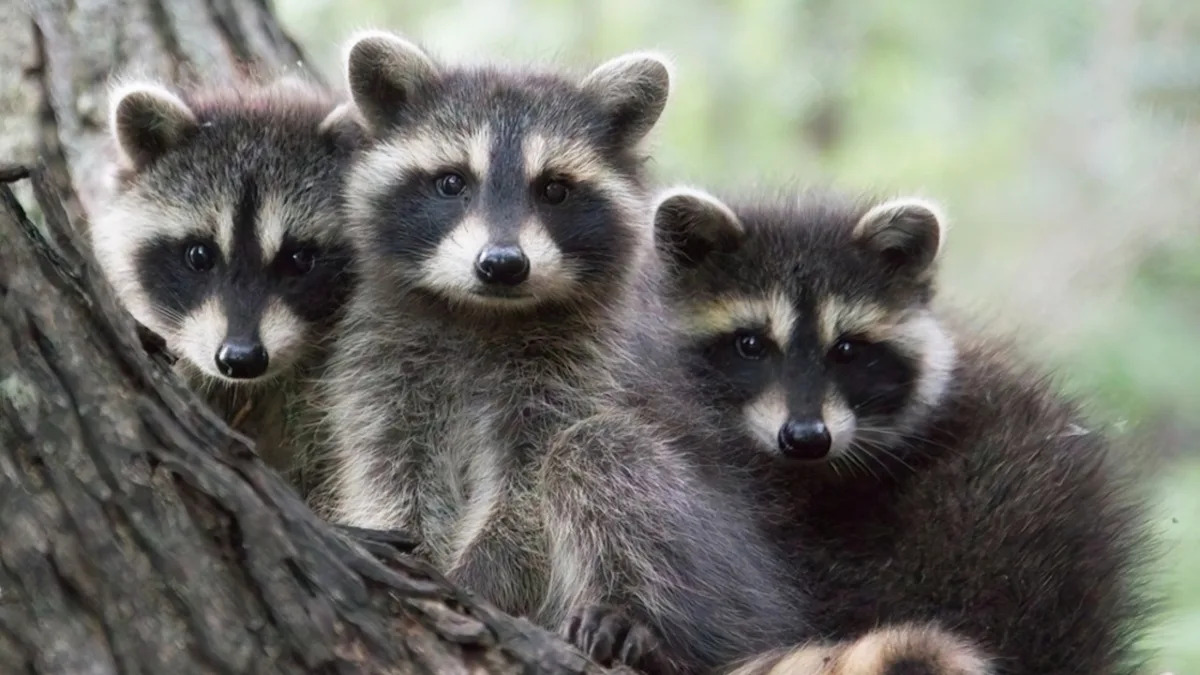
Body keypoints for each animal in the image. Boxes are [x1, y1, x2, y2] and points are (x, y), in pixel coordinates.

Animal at [320, 31, 808, 673]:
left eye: (554, 189)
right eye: (451, 182)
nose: (502, 264)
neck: (483, 315)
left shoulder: (584, 366)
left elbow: (529, 488)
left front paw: (481, 576)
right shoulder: (383, 363)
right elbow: (393, 472)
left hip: (730, 577)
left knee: (598, 454)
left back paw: (635, 618)